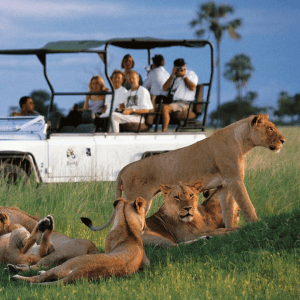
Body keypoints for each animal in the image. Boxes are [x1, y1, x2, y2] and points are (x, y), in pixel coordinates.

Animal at [12, 198, 149, 284]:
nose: (146, 227)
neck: (128, 227)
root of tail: (81, 273)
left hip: (67, 263)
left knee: (38, 275)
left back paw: (16, 273)